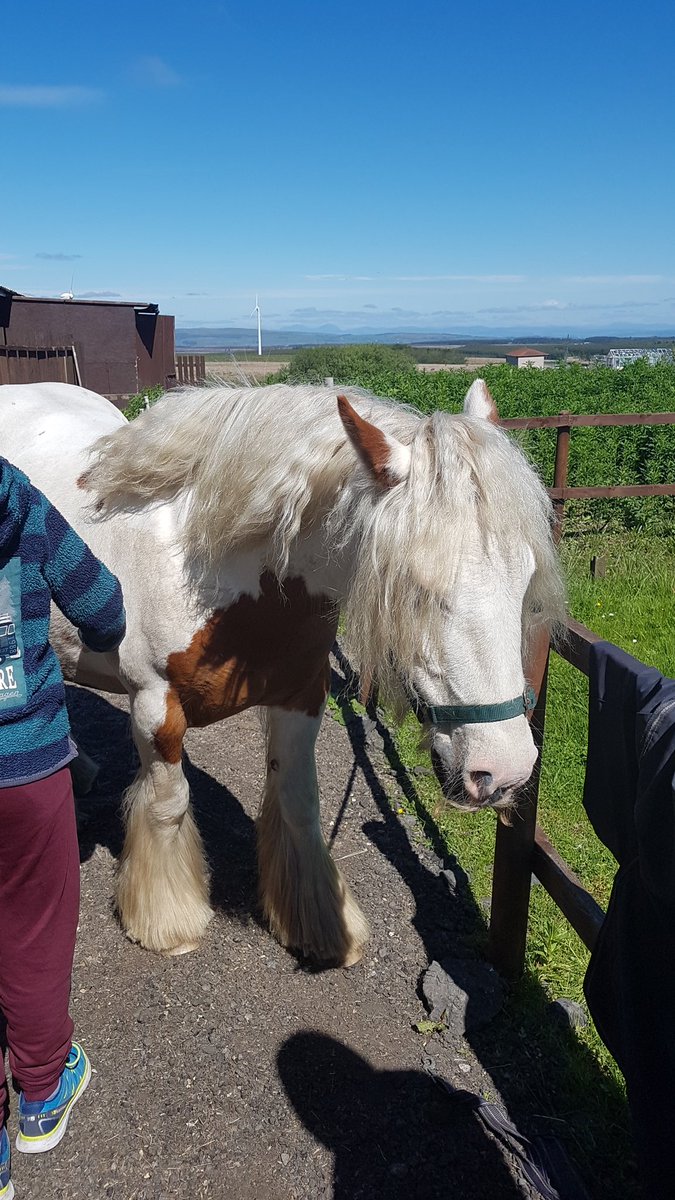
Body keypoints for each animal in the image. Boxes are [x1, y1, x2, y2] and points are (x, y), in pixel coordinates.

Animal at [0, 378, 564, 967]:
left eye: (525, 578)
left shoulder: (301, 699)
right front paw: (169, 923)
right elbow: (168, 805)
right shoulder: (156, 708)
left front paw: (315, 922)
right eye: (414, 587)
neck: (216, 566)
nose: (505, 770)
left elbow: (299, 804)